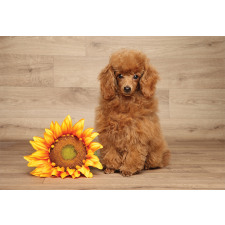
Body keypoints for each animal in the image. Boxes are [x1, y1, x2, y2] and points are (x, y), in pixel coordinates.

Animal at [95, 48, 171, 176]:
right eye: (120, 75)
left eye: (136, 76)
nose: (127, 88)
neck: (126, 103)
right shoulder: (110, 134)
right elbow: (111, 152)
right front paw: (111, 167)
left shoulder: (136, 133)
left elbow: (134, 153)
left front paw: (128, 169)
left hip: (155, 153)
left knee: (155, 161)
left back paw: (147, 166)